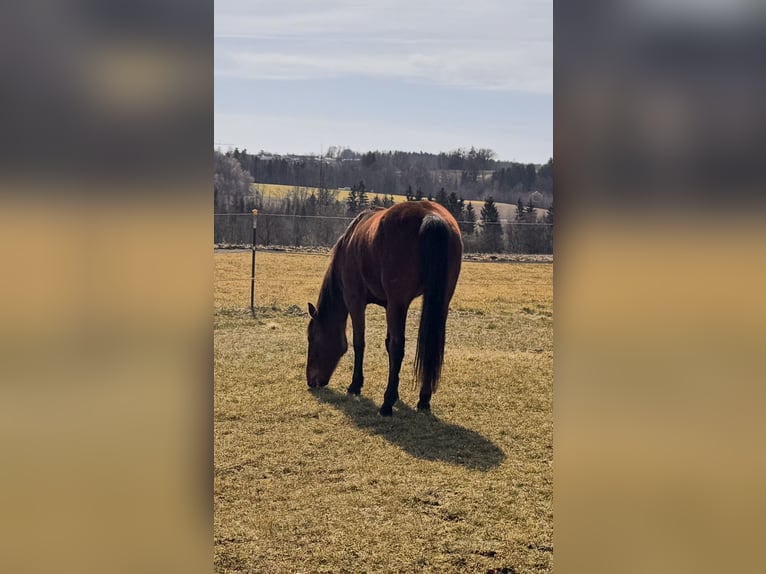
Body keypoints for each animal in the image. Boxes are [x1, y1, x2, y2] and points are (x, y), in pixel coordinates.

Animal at [306, 201, 462, 416]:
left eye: (312, 338)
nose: (310, 380)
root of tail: (430, 216)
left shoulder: (355, 300)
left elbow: (360, 342)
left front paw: (356, 385)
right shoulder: (388, 305)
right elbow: (387, 344)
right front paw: (395, 392)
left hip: (399, 302)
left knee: (398, 347)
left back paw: (386, 404)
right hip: (439, 301)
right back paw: (423, 398)